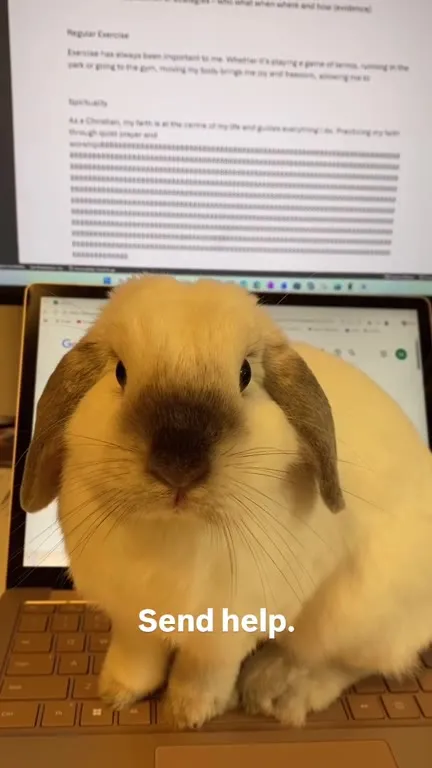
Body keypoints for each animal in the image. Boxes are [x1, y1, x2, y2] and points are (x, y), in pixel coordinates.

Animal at [20, 275, 432, 730]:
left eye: (245, 374)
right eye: (120, 372)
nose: (179, 467)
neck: (174, 529)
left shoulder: (224, 632)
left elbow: (203, 671)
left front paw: (189, 713)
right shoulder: (130, 618)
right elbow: (136, 656)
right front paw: (116, 693)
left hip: (355, 614)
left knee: (350, 662)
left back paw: (277, 690)